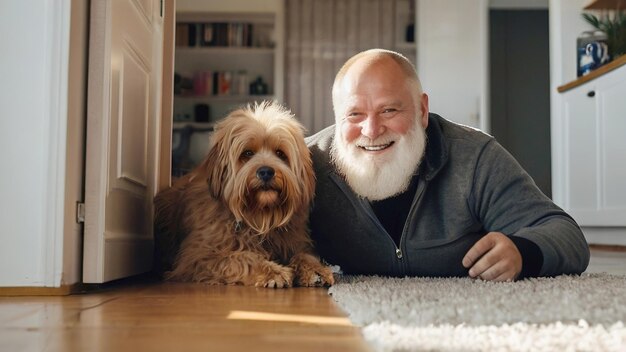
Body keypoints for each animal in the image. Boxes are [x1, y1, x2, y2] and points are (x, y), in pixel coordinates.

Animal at [154, 102, 334, 288]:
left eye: (280, 153)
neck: (260, 215)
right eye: (247, 153)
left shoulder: (295, 241)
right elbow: (242, 258)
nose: (266, 172)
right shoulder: (197, 257)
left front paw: (315, 270)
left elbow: (304, 255)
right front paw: (274, 271)